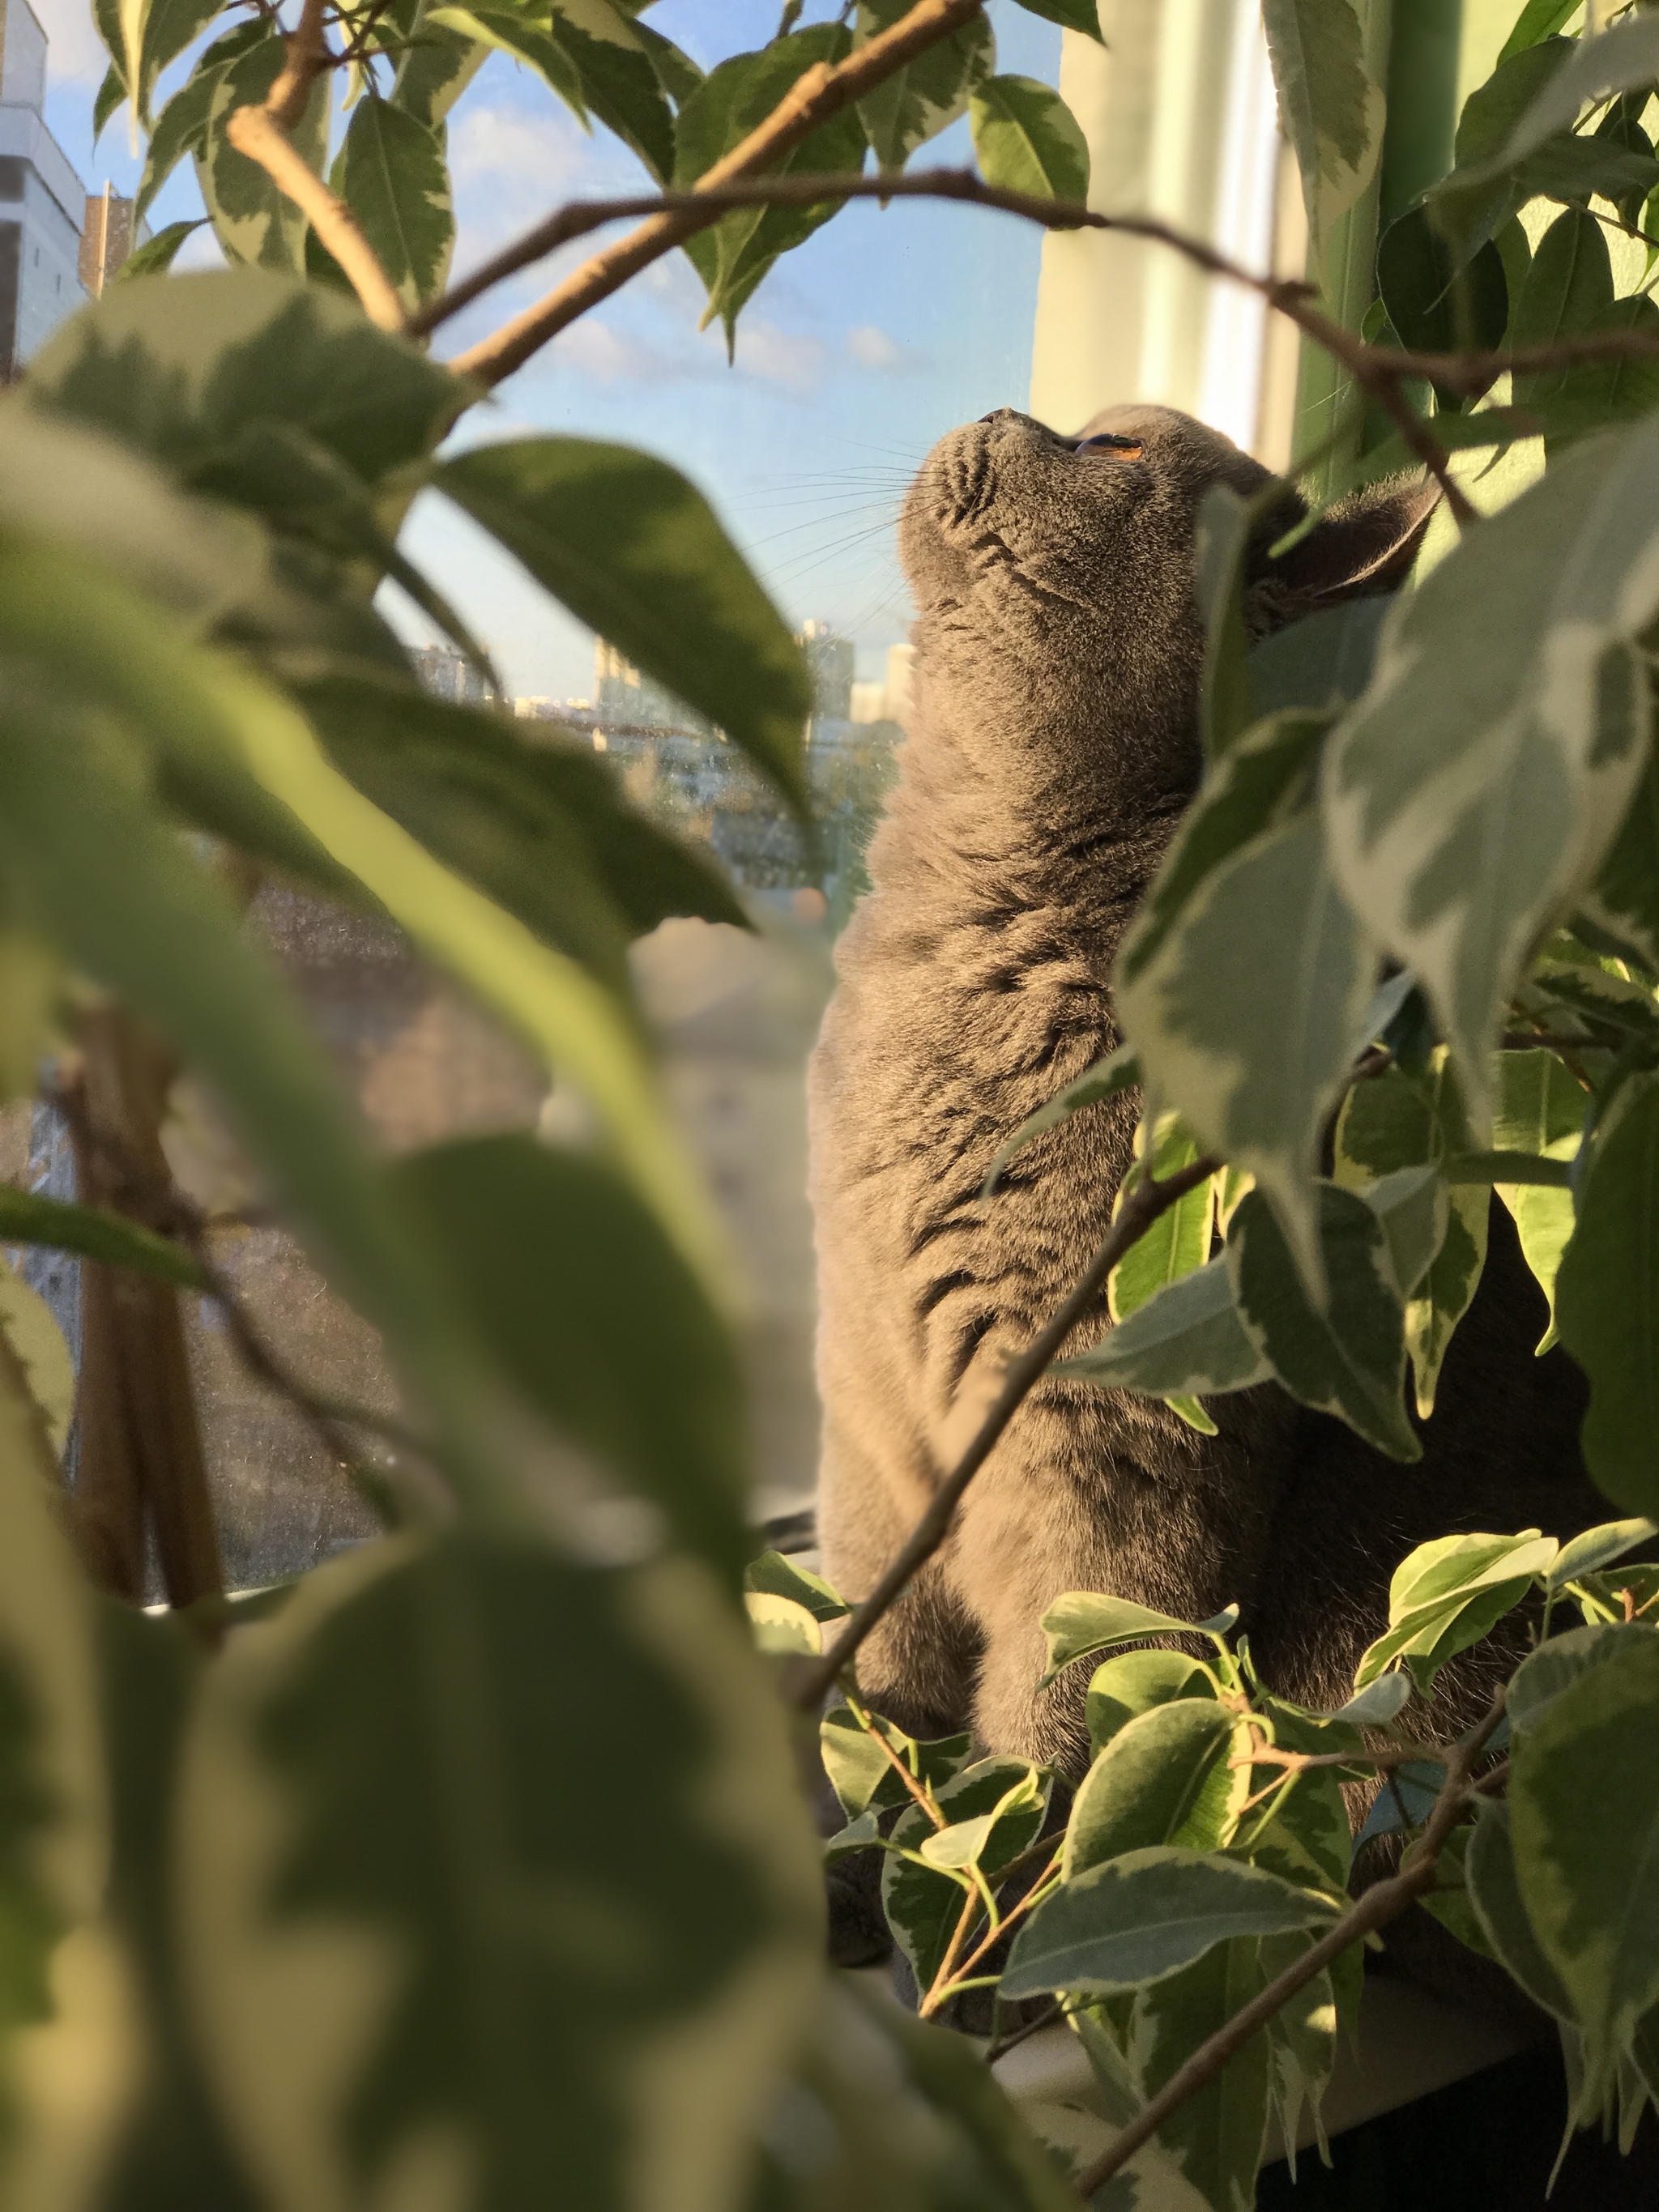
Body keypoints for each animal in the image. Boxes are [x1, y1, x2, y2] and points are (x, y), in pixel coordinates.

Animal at [813, 403, 1601, 1778]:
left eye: (1119, 454)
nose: (1008, 411)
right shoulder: (865, 1424)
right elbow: (882, 1664)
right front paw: (866, 1786)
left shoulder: (1110, 1440)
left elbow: (1067, 1710)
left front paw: (1005, 1825)